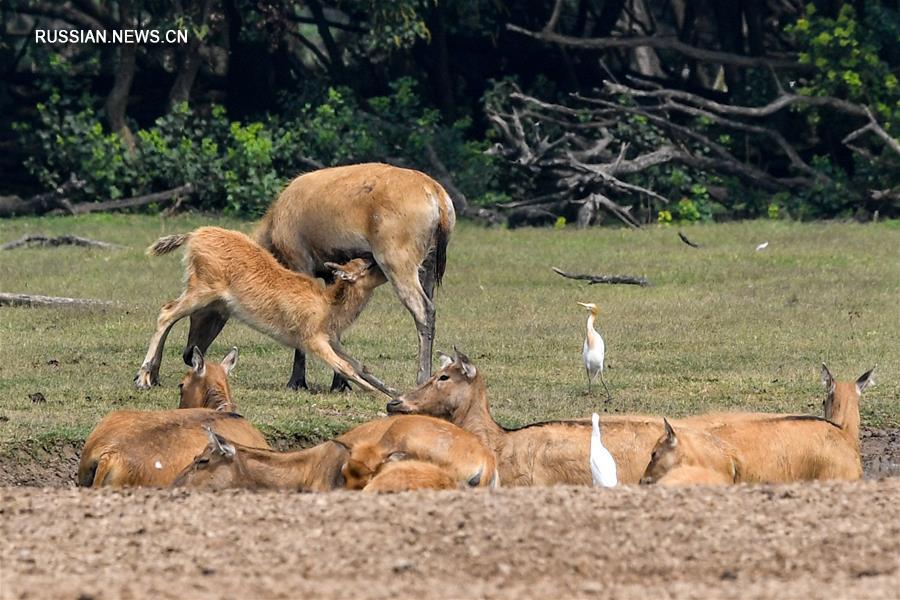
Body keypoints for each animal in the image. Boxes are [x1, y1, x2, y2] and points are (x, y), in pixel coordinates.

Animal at [135, 227, 396, 396]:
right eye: (367, 266)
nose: (384, 263)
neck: (328, 306)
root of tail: (194, 235)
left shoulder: (331, 339)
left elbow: (360, 365)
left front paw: (392, 389)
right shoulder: (312, 340)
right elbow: (346, 367)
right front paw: (382, 396)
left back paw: (152, 377)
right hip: (202, 292)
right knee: (166, 312)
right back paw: (143, 378)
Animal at [181, 163, 458, 390]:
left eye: (202, 310)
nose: (187, 354)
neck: (273, 234)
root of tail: (440, 199)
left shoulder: (299, 259)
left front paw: (297, 381)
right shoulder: (329, 271)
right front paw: (339, 384)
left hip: (397, 258)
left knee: (424, 310)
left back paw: (421, 379)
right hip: (428, 264)